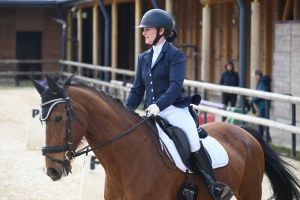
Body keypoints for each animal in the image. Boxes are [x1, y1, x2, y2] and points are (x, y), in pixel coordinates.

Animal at [29, 75, 298, 200]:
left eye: (58, 118)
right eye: (41, 120)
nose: (52, 170)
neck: (127, 159)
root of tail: (244, 132)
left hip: (250, 190)